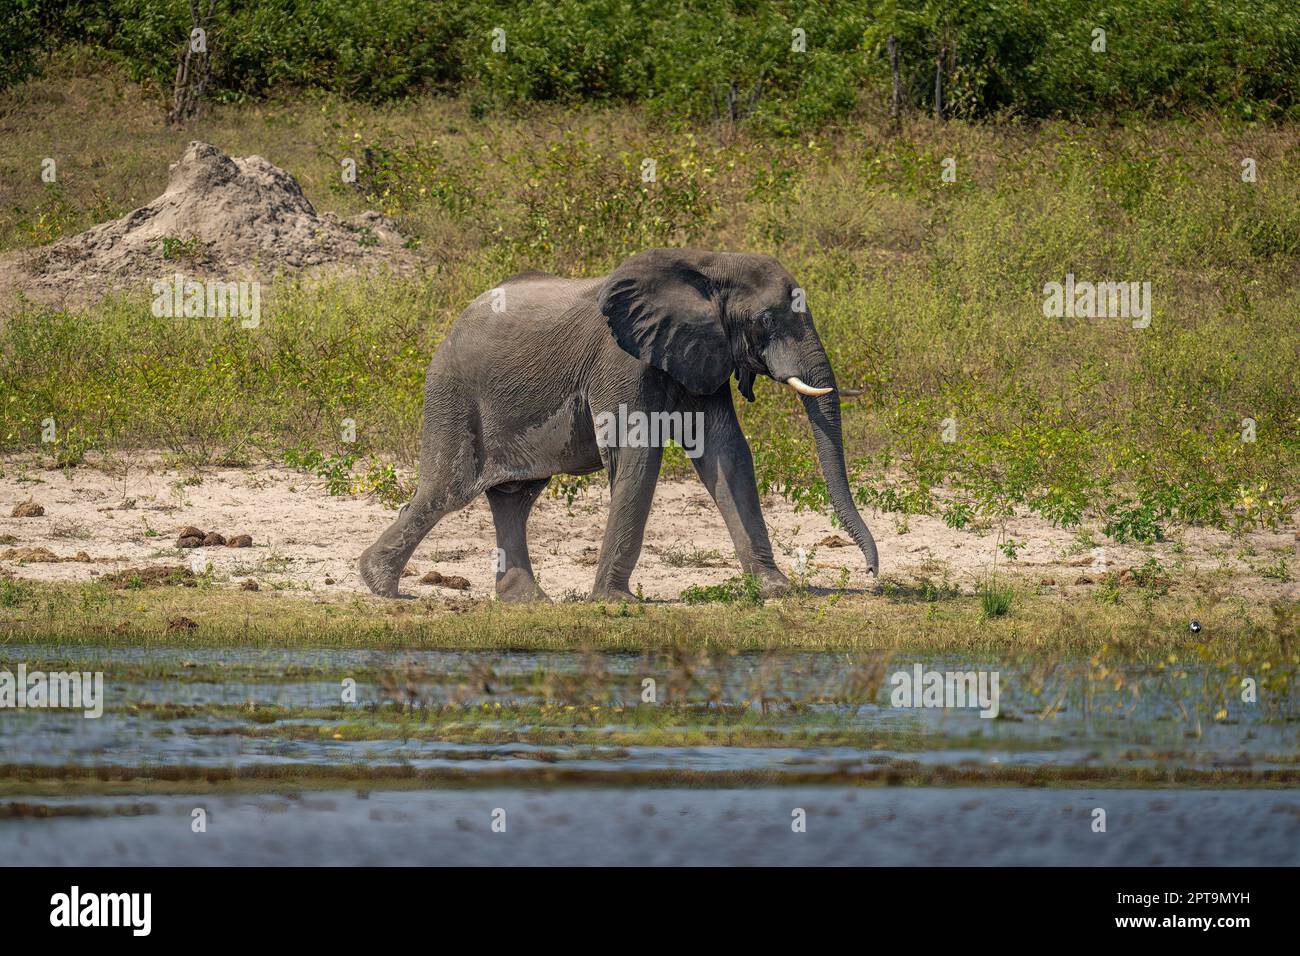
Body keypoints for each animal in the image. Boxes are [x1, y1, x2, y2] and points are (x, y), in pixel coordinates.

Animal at [359, 248, 879, 602]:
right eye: (767, 320)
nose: (872, 574)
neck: (708, 265)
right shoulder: (620, 362)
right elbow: (640, 454)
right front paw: (613, 600)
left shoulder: (700, 353)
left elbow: (727, 451)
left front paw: (776, 589)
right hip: (453, 393)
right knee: (445, 490)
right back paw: (379, 584)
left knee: (515, 498)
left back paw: (529, 602)